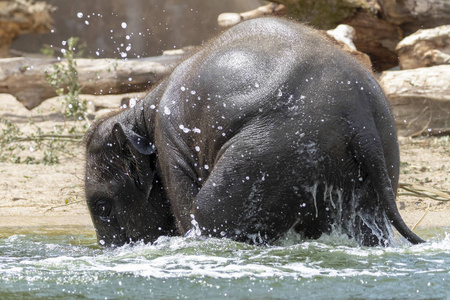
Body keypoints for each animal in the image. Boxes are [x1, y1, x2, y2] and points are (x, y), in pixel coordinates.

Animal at [85, 16, 426, 247]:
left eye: (102, 206)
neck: (141, 110)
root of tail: (360, 118)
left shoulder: (170, 144)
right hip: (374, 156)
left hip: (272, 151)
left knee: (208, 214)